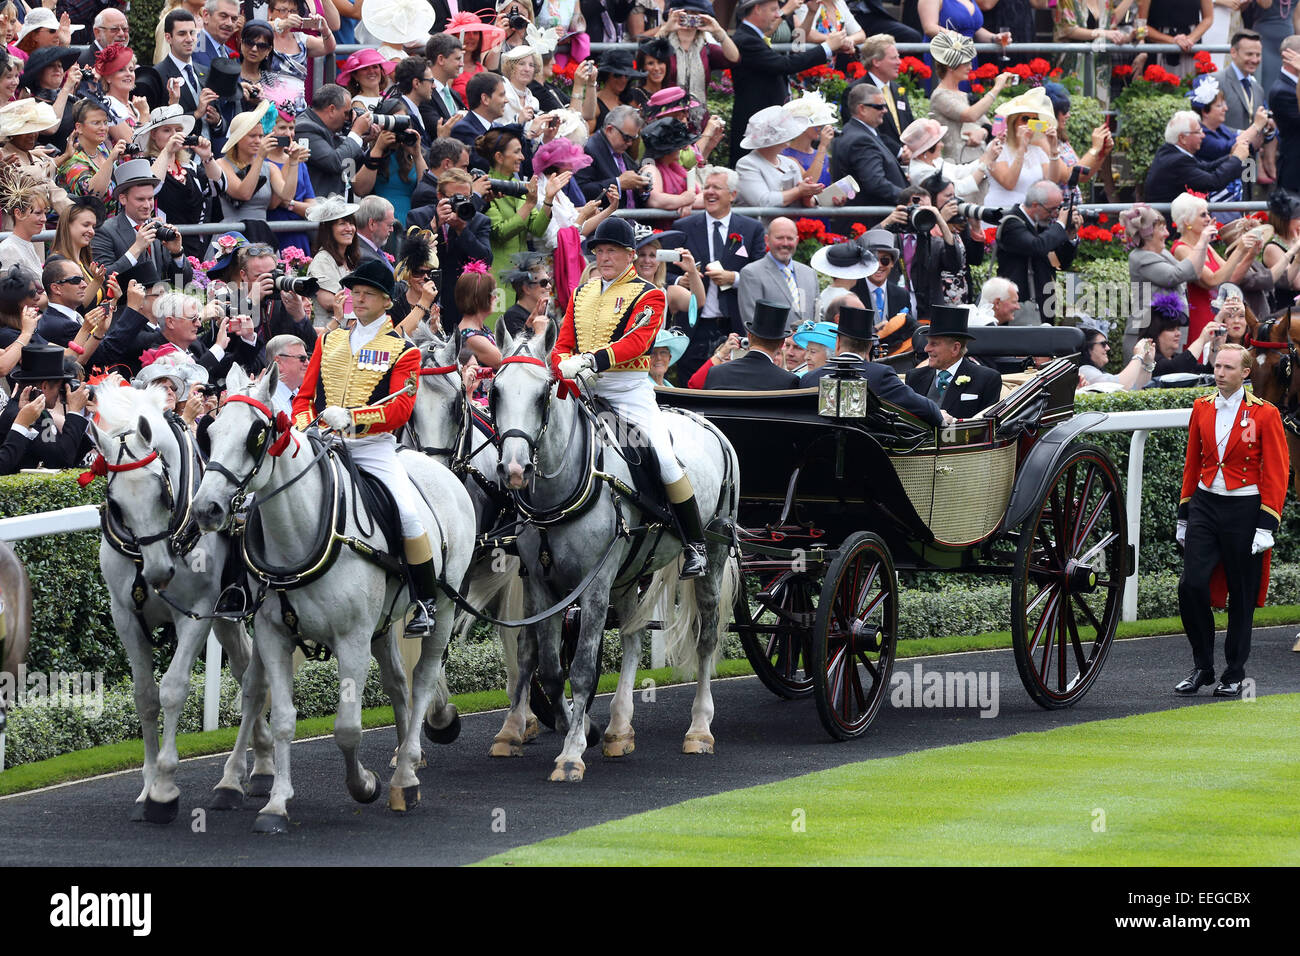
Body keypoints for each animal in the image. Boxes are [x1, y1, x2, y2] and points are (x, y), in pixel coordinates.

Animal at [92, 387, 276, 822]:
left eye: (161, 491)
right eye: (115, 503)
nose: (159, 573)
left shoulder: (195, 613)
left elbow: (173, 689)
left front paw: (163, 788)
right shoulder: (125, 617)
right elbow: (145, 696)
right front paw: (146, 786)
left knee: (255, 681)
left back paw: (235, 777)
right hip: (228, 615)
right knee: (245, 672)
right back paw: (260, 763)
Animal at [189, 366, 475, 832]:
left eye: (255, 434)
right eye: (210, 432)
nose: (206, 508)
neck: (302, 534)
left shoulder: (352, 639)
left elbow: (347, 727)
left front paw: (364, 785)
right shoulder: (273, 635)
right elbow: (282, 718)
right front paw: (276, 804)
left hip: (443, 612)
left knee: (422, 680)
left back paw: (406, 772)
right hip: (381, 626)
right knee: (397, 684)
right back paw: (404, 769)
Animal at [488, 325, 743, 780]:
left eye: (542, 393)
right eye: (495, 391)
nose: (514, 470)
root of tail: (707, 423)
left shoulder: (593, 587)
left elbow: (583, 668)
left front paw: (571, 752)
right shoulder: (541, 586)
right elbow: (549, 666)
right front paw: (579, 727)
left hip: (711, 557)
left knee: (707, 638)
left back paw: (699, 729)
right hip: (630, 571)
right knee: (633, 637)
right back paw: (619, 729)